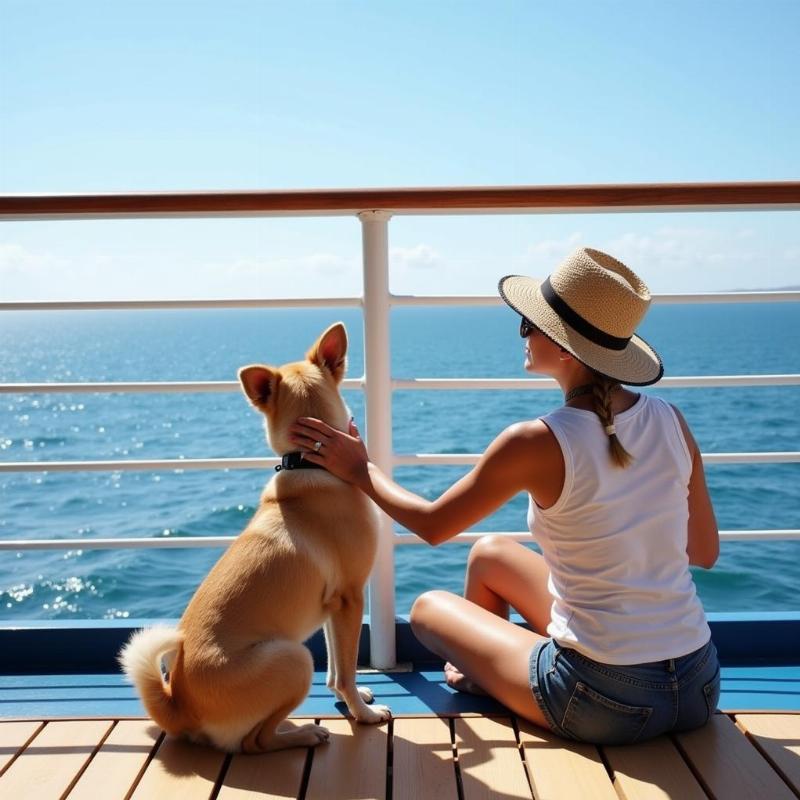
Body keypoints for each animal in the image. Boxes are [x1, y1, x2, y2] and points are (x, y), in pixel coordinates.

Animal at [119, 322, 390, 752]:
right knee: (255, 742)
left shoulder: (333, 606)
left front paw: (349, 698)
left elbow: (337, 667)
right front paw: (362, 715)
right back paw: (304, 734)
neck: (309, 461)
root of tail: (179, 707)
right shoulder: (349, 597)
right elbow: (345, 669)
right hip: (294, 659)